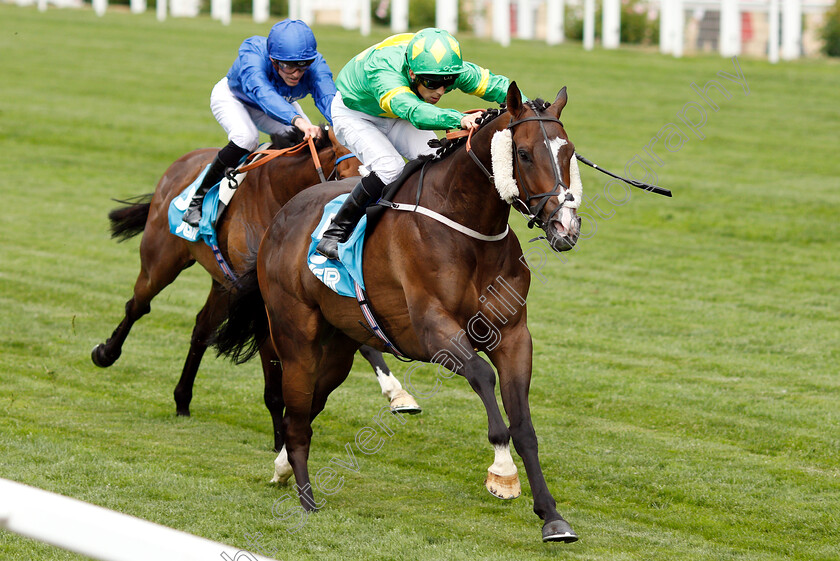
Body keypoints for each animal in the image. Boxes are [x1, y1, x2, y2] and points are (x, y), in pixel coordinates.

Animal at [92, 127, 420, 450]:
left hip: (223, 284)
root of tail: (183, 162)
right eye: (344, 175)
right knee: (138, 305)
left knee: (201, 329)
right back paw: (106, 353)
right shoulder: (268, 301)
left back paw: (182, 399)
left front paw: (398, 395)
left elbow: (365, 342)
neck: (281, 197)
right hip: (162, 259)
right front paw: (282, 437)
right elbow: (274, 369)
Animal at [215, 84, 584, 544]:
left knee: (307, 408)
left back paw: (283, 467)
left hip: (338, 348)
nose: (565, 225)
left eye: (569, 151)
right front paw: (502, 472)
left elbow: (525, 426)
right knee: (297, 414)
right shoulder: (432, 330)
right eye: (524, 153)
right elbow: (483, 378)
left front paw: (552, 517)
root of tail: (280, 217)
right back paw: (306, 500)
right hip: (295, 337)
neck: (467, 227)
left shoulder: (514, 335)